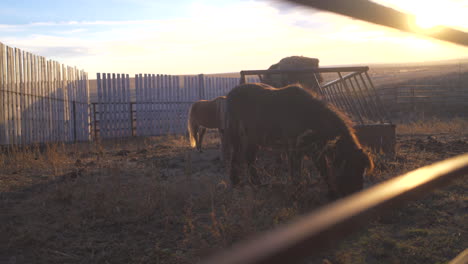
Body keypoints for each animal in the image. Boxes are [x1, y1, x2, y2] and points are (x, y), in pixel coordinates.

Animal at [225, 83, 374, 198]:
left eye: (362, 170)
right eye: (350, 169)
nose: (355, 195)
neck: (307, 115)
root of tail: (231, 94)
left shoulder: (315, 151)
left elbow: (324, 170)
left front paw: (331, 194)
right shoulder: (294, 150)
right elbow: (296, 173)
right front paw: (296, 194)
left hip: (253, 139)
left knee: (248, 159)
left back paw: (253, 183)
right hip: (237, 136)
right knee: (239, 158)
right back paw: (240, 183)